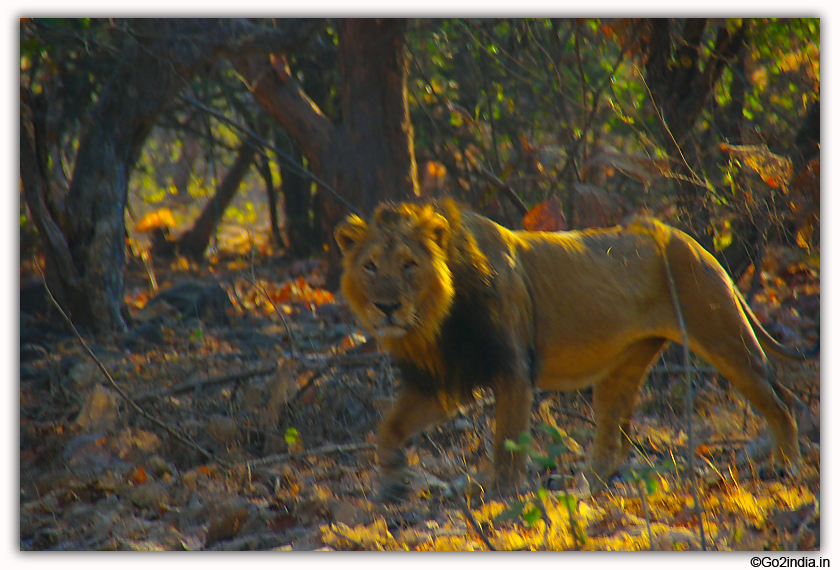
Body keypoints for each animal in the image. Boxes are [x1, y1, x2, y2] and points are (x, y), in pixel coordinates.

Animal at [332, 200, 816, 496]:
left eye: (409, 265)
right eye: (370, 266)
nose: (386, 307)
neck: (434, 319)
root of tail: (692, 240)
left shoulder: (514, 370)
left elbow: (507, 442)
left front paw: (504, 495)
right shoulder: (444, 378)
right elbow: (389, 426)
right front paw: (393, 479)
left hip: (726, 339)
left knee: (783, 402)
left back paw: (785, 466)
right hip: (623, 368)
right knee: (611, 441)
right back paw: (582, 486)